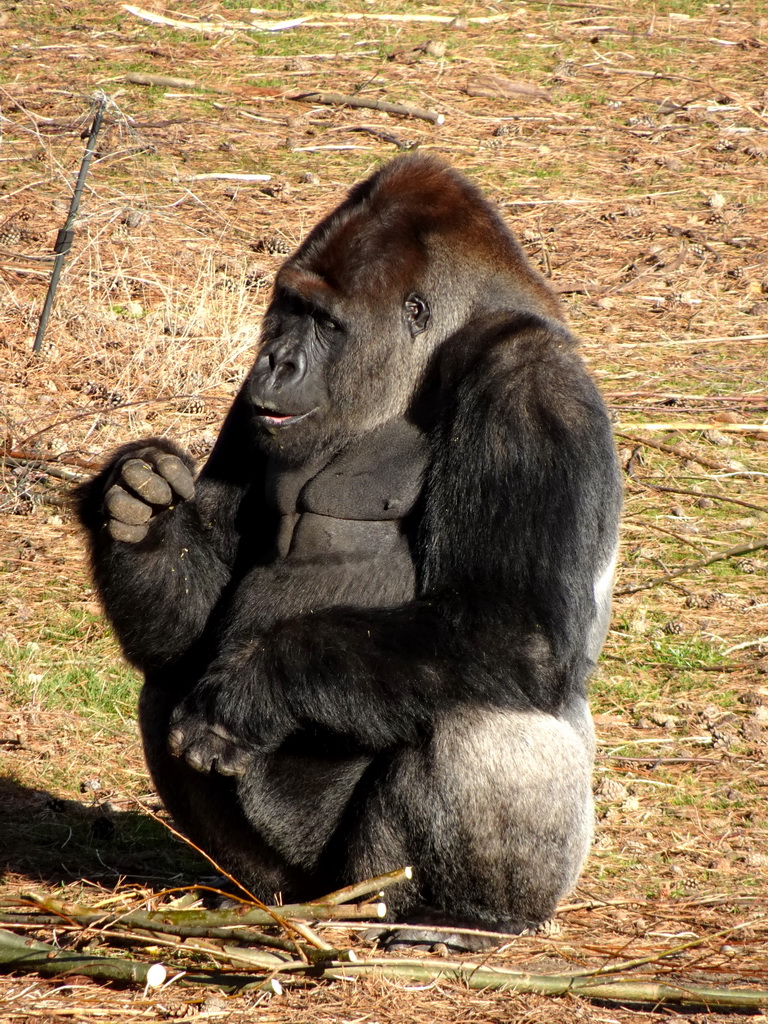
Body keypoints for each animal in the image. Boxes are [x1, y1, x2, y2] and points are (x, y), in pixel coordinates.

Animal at [78, 155, 622, 946]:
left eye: (325, 323)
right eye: (288, 309)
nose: (275, 359)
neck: (415, 369)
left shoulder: (531, 384)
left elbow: (516, 626)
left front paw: (259, 683)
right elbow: (199, 615)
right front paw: (141, 509)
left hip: (393, 878)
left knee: (482, 707)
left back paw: (467, 915)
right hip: (303, 872)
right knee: (169, 675)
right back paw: (259, 899)